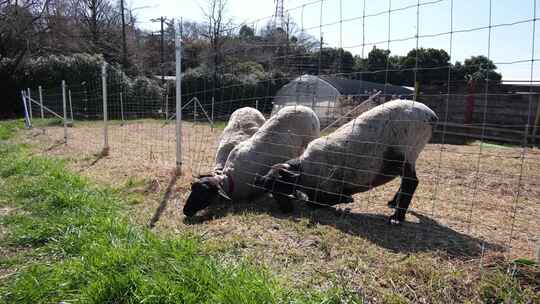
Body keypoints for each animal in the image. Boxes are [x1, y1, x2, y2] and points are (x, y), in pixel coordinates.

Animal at [185, 104, 320, 216]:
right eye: (192, 188)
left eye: (203, 194)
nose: (185, 211)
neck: (231, 180)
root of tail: (303, 106)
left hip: (311, 138)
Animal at [254, 98, 438, 224]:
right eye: (270, 190)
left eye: (280, 185)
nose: (286, 210)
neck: (304, 171)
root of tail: (430, 115)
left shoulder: (328, 189)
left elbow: (315, 203)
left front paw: (347, 200)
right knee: (407, 182)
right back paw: (393, 204)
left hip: (406, 153)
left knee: (411, 182)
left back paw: (396, 218)